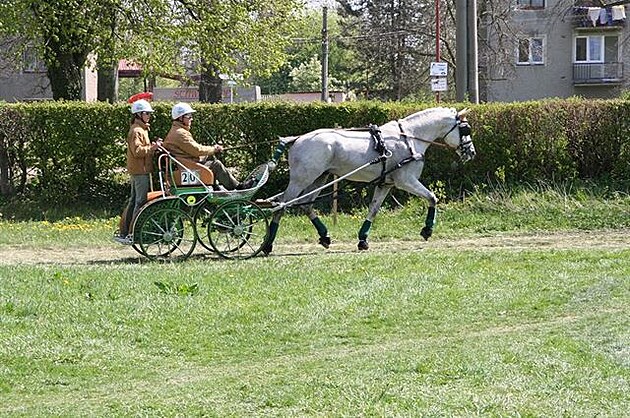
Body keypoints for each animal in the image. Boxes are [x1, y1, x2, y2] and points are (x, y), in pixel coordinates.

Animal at [262, 106, 478, 253]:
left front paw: (363, 239)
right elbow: (432, 197)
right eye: (465, 130)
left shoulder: (385, 184)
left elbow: (373, 210)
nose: (472, 152)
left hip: (319, 178)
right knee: (281, 205)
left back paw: (324, 237)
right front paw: (427, 230)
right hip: (301, 179)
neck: (409, 138)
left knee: (306, 204)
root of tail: (296, 139)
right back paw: (267, 244)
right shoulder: (406, 180)